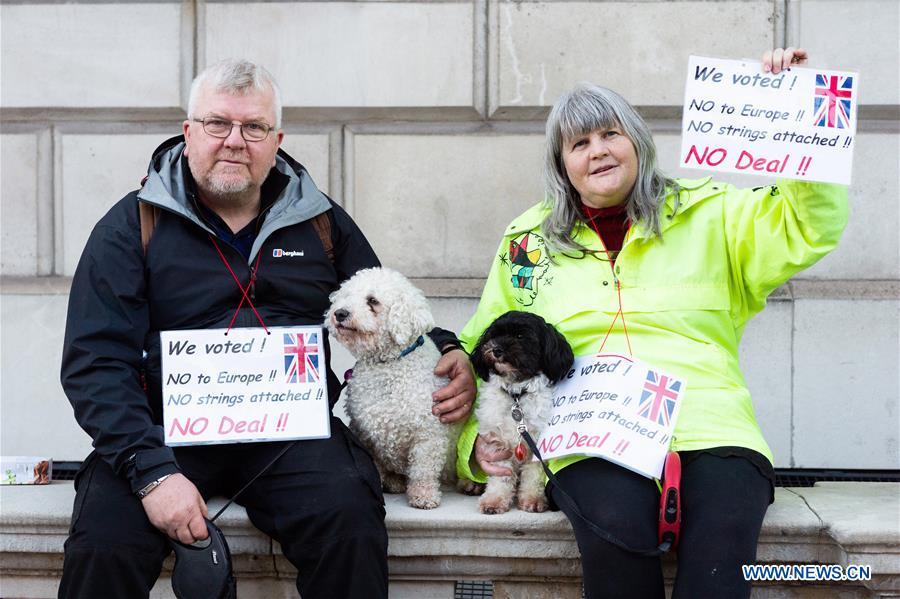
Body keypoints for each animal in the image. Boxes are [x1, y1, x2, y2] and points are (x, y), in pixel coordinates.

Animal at [326, 270, 464, 508]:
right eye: (346, 295)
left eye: (373, 301)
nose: (340, 313)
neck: (388, 364)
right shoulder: (365, 433)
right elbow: (377, 465)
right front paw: (384, 482)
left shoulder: (428, 434)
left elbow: (423, 469)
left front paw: (424, 495)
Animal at [468, 312, 572, 512]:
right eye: (495, 335)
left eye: (520, 336)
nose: (496, 349)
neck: (516, 395)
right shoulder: (497, 443)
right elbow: (501, 475)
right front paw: (494, 500)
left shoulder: (537, 444)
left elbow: (533, 474)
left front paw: (533, 499)